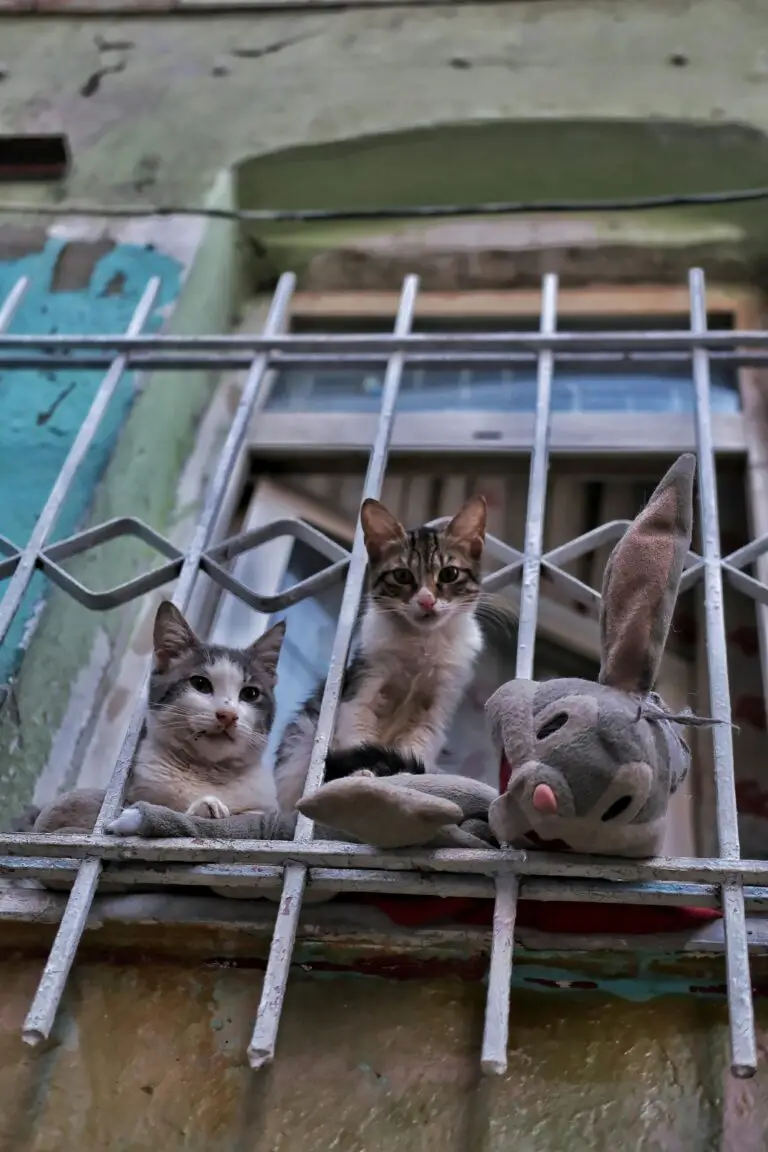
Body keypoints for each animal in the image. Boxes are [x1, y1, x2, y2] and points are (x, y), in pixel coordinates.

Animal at [17, 599, 285, 834]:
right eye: (200, 684)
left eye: (250, 694)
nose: (228, 715)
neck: (208, 773)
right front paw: (206, 808)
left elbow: (253, 819)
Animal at [275, 495, 485, 811]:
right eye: (402, 575)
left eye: (449, 574)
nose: (426, 601)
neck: (420, 644)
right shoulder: (364, 686)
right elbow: (356, 737)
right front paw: (358, 777)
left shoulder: (438, 705)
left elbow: (416, 748)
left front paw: (404, 780)